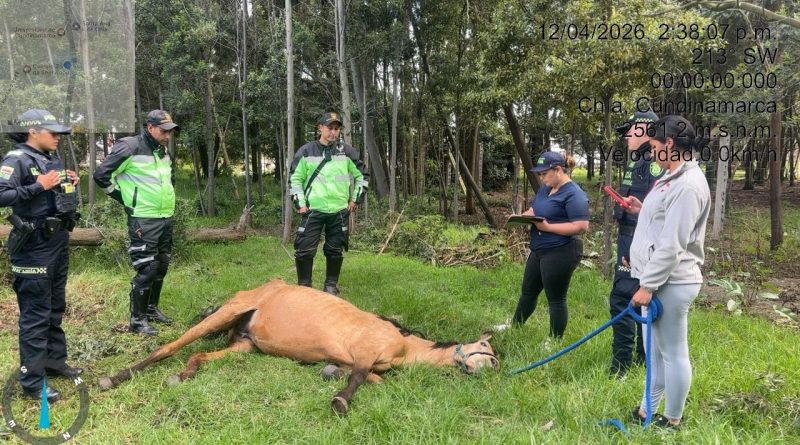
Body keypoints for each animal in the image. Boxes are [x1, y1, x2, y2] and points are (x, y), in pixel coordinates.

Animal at [99, 279, 499, 413]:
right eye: (486, 348)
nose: (492, 370)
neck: (401, 341)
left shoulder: (362, 360)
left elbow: (369, 377)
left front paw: (329, 372)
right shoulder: (366, 353)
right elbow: (358, 379)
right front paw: (339, 401)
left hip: (244, 345)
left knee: (198, 356)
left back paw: (182, 376)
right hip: (224, 314)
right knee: (168, 348)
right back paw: (113, 379)